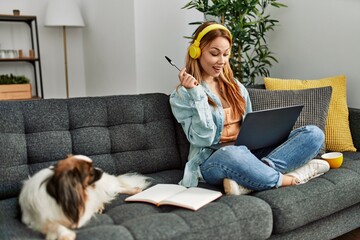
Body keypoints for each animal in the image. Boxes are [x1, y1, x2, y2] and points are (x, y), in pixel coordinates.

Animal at [19, 155, 151, 240]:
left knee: (117, 188)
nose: (101, 170)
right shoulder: (40, 219)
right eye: (90, 172)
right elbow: (55, 225)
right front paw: (65, 235)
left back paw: (134, 190)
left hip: (105, 186)